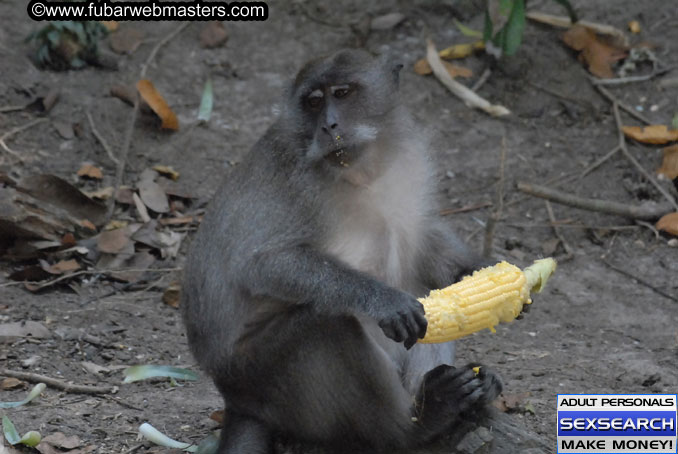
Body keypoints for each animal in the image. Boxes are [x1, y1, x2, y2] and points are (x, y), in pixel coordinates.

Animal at [182, 49, 504, 454]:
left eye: (343, 92)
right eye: (314, 102)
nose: (328, 125)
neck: (362, 172)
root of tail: (235, 400)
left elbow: (419, 235)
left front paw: (478, 271)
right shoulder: (302, 186)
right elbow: (263, 265)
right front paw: (383, 299)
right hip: (259, 376)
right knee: (328, 323)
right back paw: (415, 426)